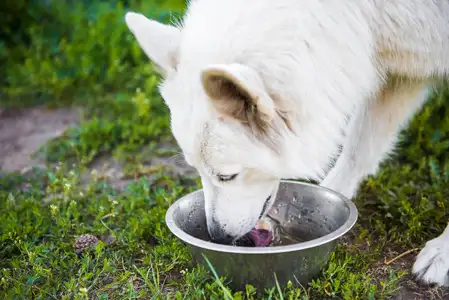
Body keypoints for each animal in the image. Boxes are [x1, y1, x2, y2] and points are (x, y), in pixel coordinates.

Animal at [124, 0, 448, 286]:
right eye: (197, 171)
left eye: (227, 176)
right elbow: (357, 149)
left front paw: (442, 254)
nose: (217, 237)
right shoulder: (400, 71)